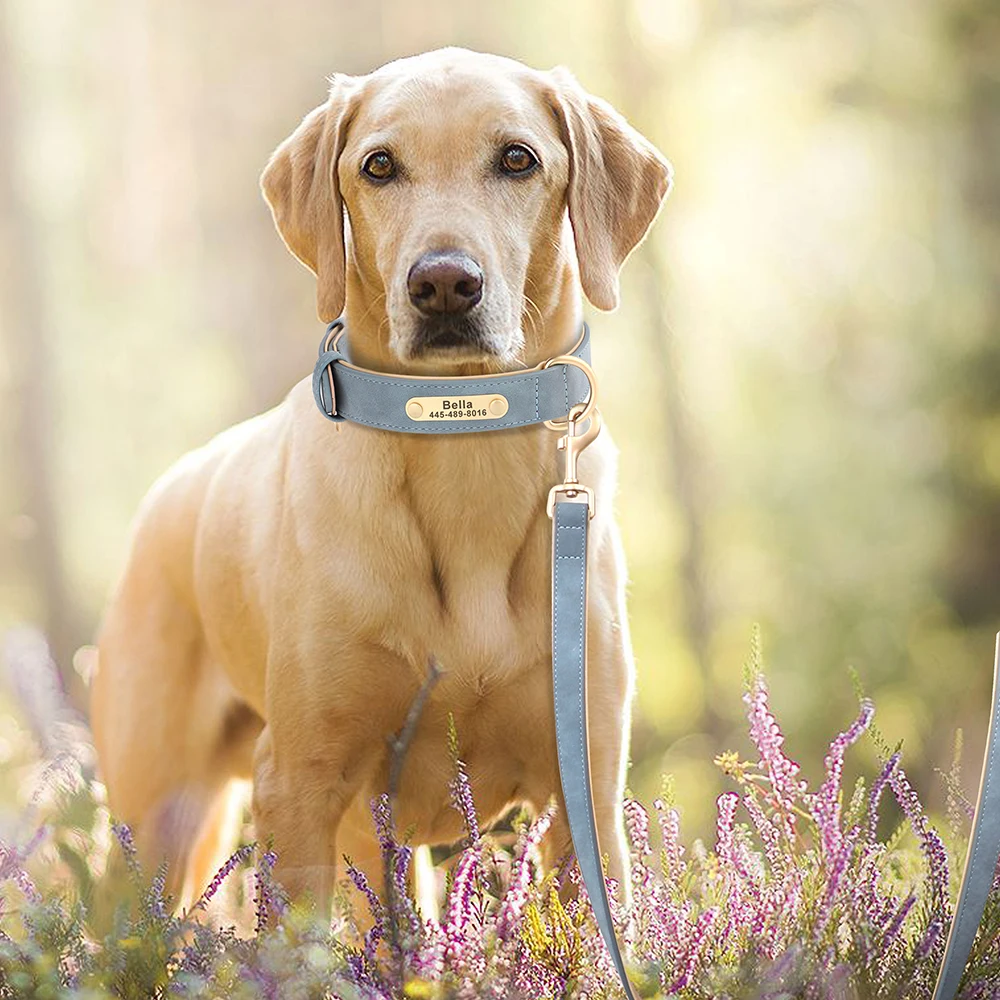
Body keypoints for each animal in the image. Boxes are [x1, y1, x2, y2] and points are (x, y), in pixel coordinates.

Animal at [92, 50, 672, 916]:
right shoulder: (301, 782)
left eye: (518, 158)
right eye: (378, 166)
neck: (460, 438)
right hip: (159, 821)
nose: (443, 284)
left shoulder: (586, 797)